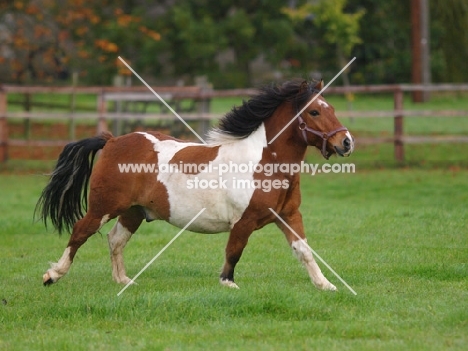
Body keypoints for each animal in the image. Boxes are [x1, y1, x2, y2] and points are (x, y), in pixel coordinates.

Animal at [36, 80, 352, 292]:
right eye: (314, 112)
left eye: (332, 108)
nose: (346, 142)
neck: (265, 163)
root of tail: (113, 140)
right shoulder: (244, 220)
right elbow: (233, 251)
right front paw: (228, 284)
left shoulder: (288, 216)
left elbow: (304, 250)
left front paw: (326, 285)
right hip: (104, 206)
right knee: (80, 231)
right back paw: (53, 275)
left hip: (133, 211)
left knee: (115, 240)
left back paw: (124, 281)